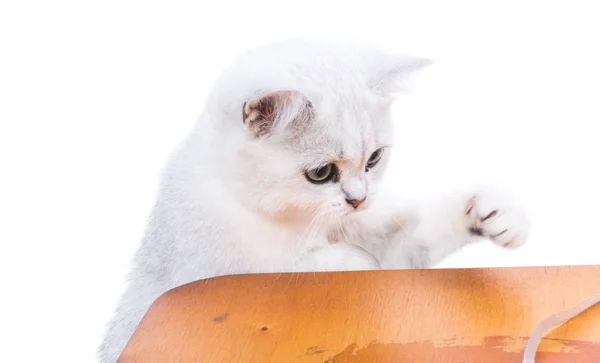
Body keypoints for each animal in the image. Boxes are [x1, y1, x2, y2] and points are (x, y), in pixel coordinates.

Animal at [97, 39, 528, 363]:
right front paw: (351, 262)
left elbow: (415, 237)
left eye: (374, 159)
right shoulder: (210, 275)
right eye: (321, 173)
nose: (359, 199)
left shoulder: (390, 245)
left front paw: (493, 214)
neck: (298, 220)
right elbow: (302, 267)